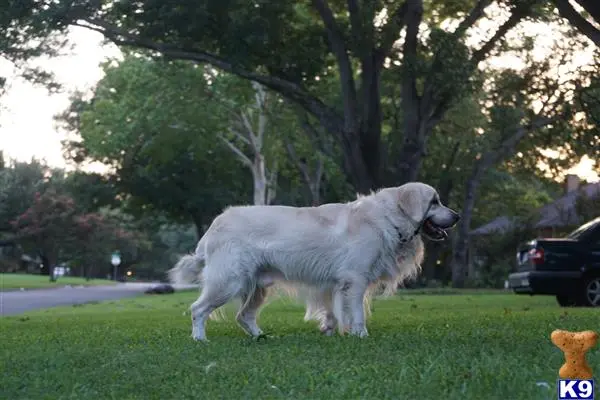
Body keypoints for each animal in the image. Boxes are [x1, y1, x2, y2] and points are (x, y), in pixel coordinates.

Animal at [169, 181, 460, 340]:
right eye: (434, 202)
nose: (456, 216)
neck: (387, 218)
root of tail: (214, 225)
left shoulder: (335, 284)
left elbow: (332, 312)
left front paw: (330, 331)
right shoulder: (355, 280)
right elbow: (357, 313)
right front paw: (361, 335)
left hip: (258, 287)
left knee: (244, 316)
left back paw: (261, 337)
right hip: (229, 282)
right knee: (197, 309)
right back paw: (199, 339)